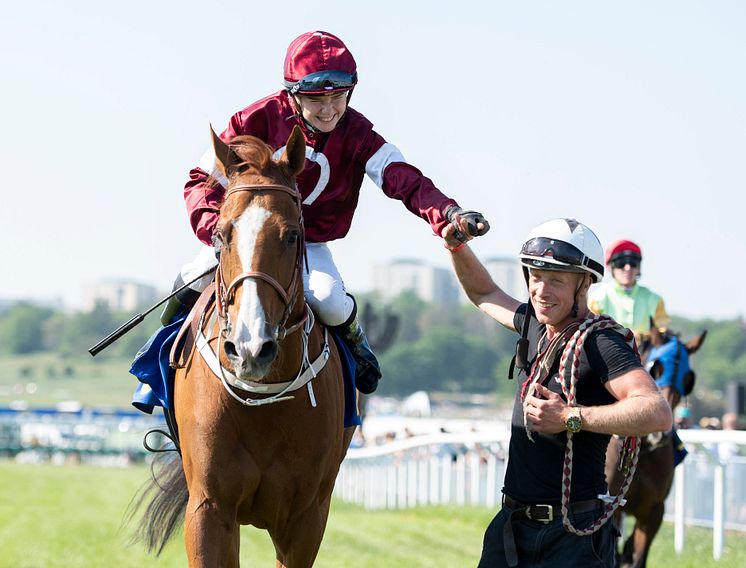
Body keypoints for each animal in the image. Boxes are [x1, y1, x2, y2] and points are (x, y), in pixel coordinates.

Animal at [134, 125, 354, 568]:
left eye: (292, 236)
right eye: (221, 234)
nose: (251, 347)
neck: (263, 401)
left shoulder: (306, 518)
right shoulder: (209, 507)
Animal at [604, 324, 704, 568]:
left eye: (687, 378)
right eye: (656, 368)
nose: (661, 433)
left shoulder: (654, 512)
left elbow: (636, 558)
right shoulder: (612, 505)